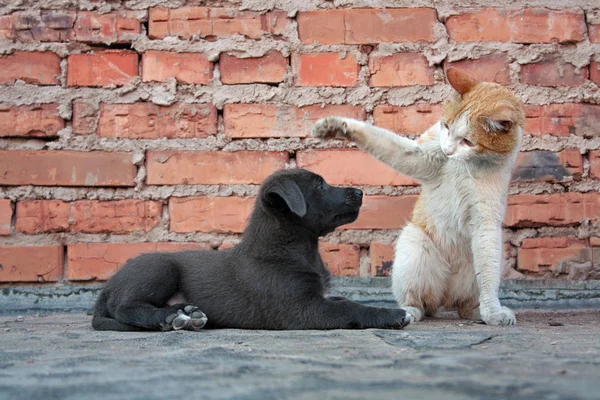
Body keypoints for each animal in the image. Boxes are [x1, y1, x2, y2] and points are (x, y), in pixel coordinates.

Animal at [92, 169, 412, 332]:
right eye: (320, 185)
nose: (360, 192)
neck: (292, 249)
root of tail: (107, 289)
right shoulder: (302, 310)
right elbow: (349, 307)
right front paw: (392, 314)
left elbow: (343, 299)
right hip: (158, 268)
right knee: (126, 307)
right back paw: (171, 318)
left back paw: (189, 313)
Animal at [314, 69, 524, 324]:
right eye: (446, 126)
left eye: (468, 141)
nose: (448, 151)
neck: (464, 165)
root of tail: (446, 297)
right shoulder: (421, 156)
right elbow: (382, 140)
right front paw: (335, 127)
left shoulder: (486, 222)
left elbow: (488, 277)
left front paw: (493, 312)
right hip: (414, 243)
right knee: (420, 303)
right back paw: (408, 312)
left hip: (491, 252)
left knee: (466, 302)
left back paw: (476, 312)